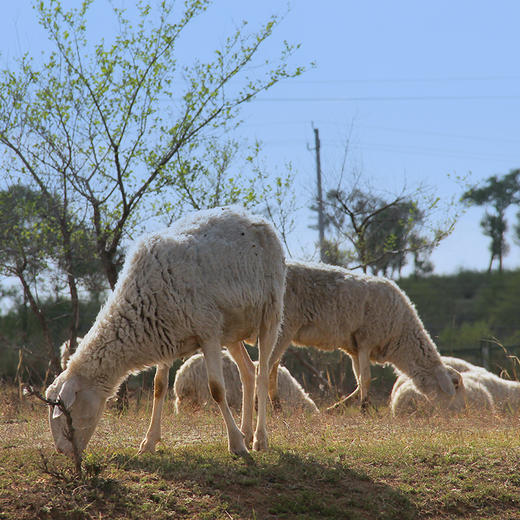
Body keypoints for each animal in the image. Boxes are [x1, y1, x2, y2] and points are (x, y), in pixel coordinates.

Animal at [46, 207, 286, 460]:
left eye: (65, 410)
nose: (62, 451)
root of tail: (253, 217)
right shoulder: (166, 334)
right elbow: (159, 386)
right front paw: (149, 442)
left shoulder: (208, 332)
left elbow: (217, 390)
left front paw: (236, 445)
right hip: (231, 330)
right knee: (247, 372)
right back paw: (246, 432)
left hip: (270, 313)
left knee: (262, 373)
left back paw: (259, 439)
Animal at [268, 262, 460, 412]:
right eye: (452, 388)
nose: (452, 415)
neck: (401, 335)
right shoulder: (366, 340)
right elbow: (366, 379)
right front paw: (364, 410)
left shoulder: (354, 348)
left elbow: (359, 380)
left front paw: (338, 408)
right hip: (284, 327)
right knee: (268, 366)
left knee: (273, 368)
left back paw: (277, 407)